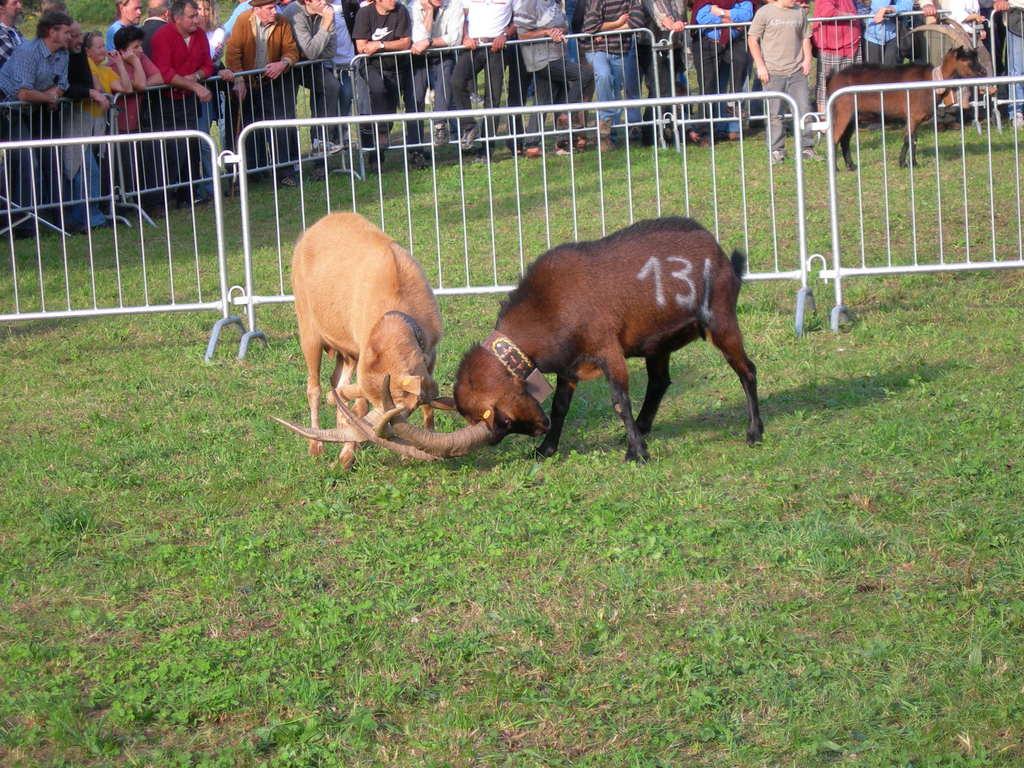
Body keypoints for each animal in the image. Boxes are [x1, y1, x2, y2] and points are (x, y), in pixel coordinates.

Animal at [278, 212, 449, 468]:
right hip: (308, 330)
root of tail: (313, 228)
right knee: (314, 388)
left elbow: (427, 405)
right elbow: (358, 407)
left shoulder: (430, 352)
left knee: (336, 381)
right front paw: (347, 455)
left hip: (345, 350)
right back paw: (316, 445)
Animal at [379, 217, 763, 462]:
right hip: (658, 343)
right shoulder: (569, 366)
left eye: (503, 422)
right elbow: (561, 406)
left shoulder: (607, 349)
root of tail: (720, 252)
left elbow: (619, 401)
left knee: (747, 370)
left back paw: (754, 432)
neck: (547, 306)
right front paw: (546, 450)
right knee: (659, 381)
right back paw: (642, 428)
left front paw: (636, 454)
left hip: (721, 319)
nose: (538, 430)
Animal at [827, 45, 987, 170]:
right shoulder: (913, 115)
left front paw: (909, 163)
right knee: (835, 137)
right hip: (843, 111)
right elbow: (909, 139)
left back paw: (851, 166)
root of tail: (832, 79)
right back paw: (836, 169)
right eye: (968, 61)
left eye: (977, 58)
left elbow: (913, 139)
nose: (984, 72)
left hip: (853, 117)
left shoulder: (915, 118)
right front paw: (907, 164)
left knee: (845, 140)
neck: (931, 81)